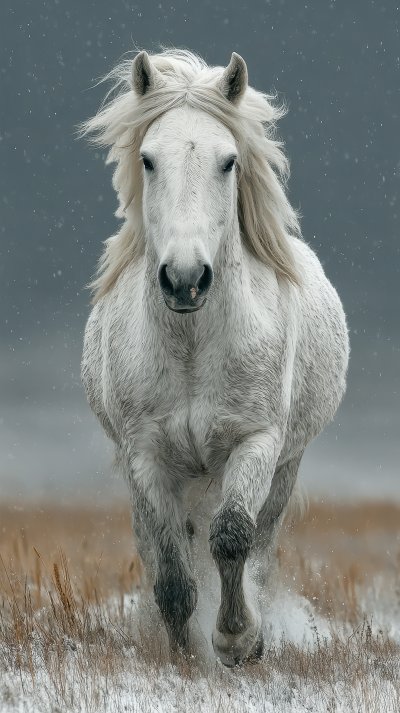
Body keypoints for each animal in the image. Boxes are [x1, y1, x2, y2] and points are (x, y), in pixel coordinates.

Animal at [80, 49, 349, 666]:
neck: (191, 348)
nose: (185, 279)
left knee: (259, 543)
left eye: (229, 162)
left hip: (284, 467)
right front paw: (184, 655)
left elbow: (231, 536)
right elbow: (173, 573)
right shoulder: (146, 455)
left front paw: (237, 640)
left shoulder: (256, 441)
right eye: (148, 160)